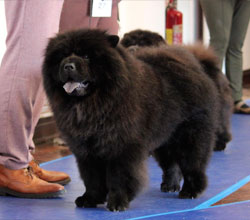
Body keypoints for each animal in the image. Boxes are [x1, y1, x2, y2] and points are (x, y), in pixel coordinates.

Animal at [43, 29, 219, 211]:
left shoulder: (122, 147)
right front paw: (90, 199)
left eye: (86, 56)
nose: (68, 65)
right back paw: (170, 185)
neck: (93, 103)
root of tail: (193, 65)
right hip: (165, 138)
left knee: (193, 165)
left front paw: (117, 202)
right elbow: (92, 178)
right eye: (62, 56)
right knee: (171, 164)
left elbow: (120, 177)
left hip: (190, 135)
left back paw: (190, 191)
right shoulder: (87, 150)